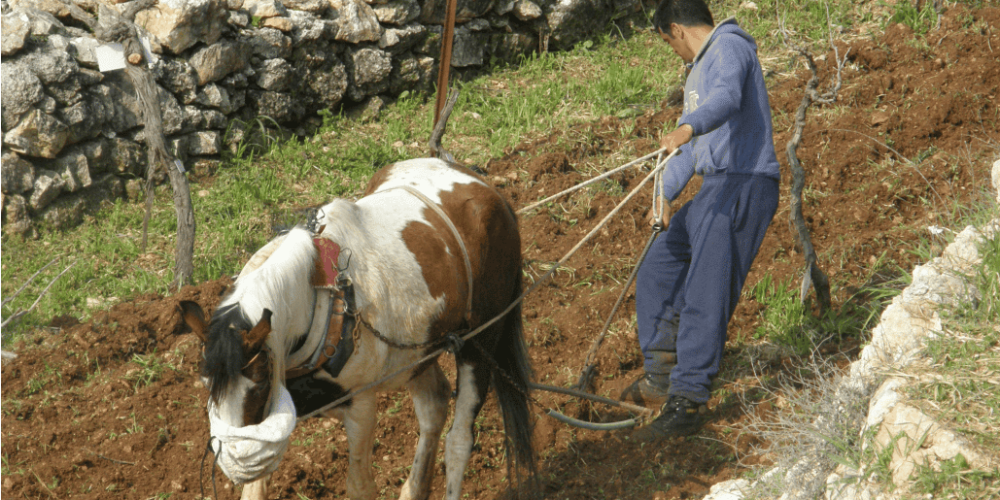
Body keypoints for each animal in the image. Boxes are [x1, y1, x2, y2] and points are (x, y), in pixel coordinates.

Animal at [180, 159, 540, 500]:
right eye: (205, 383)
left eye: (257, 385)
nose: (234, 463)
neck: (321, 296)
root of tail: (487, 188)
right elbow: (255, 490)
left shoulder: (361, 404)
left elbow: (360, 487)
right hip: (419, 351)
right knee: (434, 406)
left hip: (481, 341)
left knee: (459, 441)